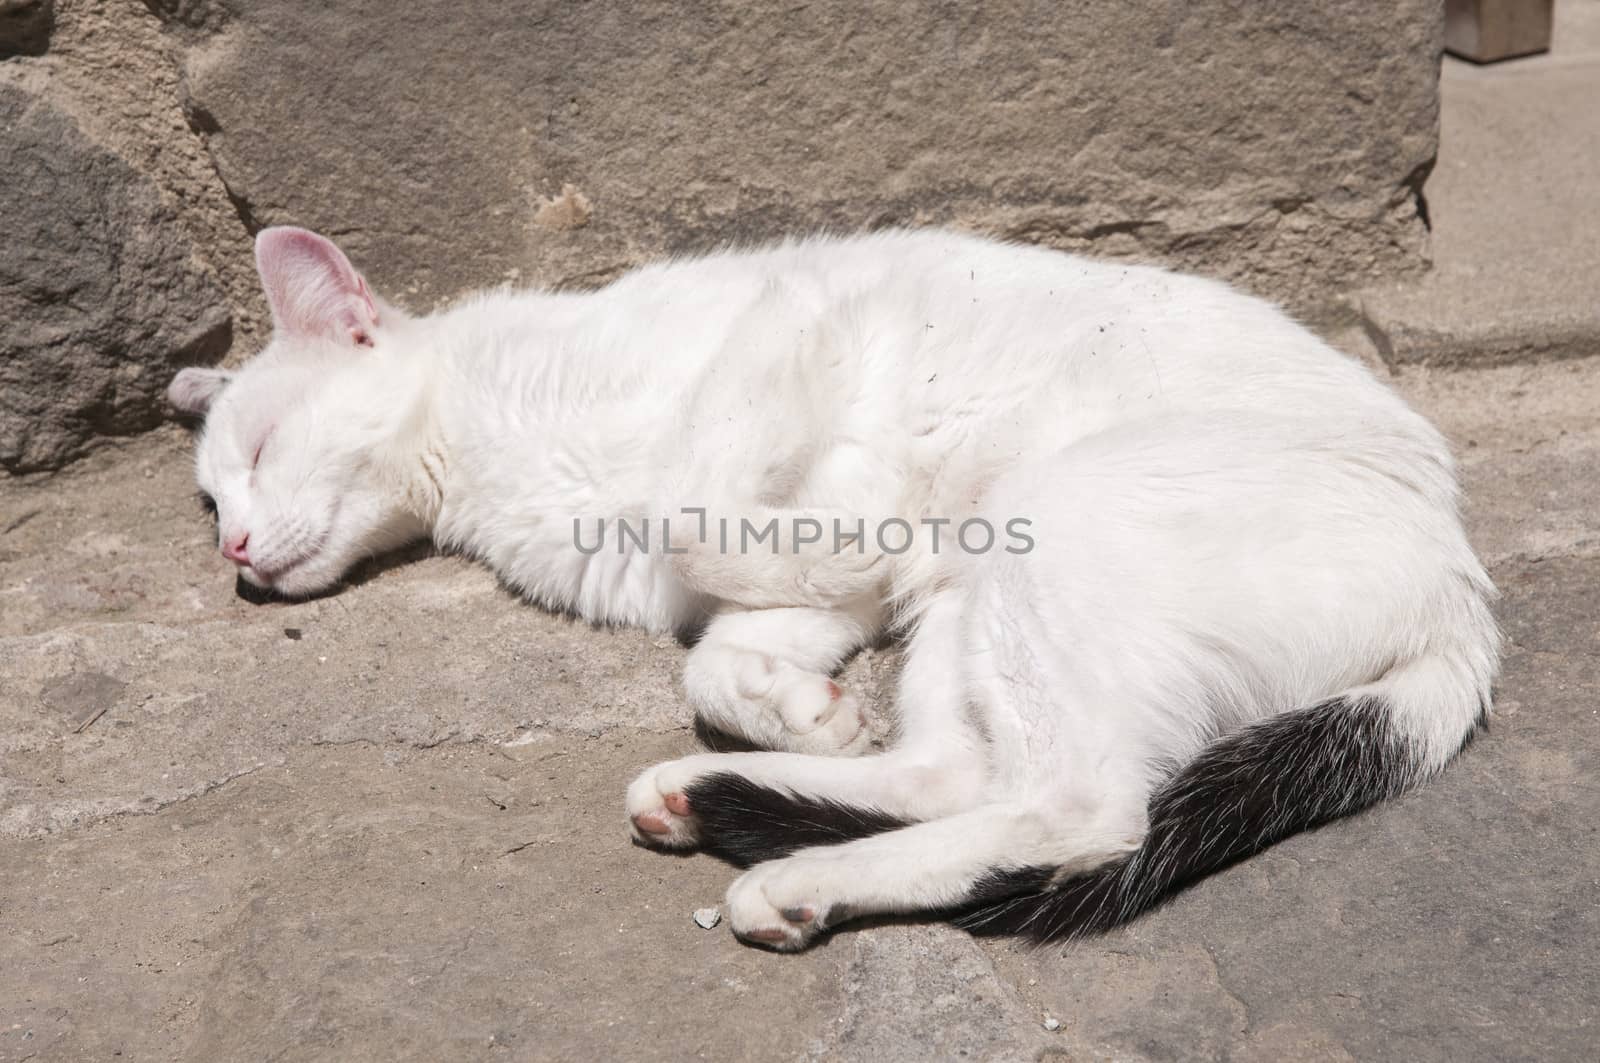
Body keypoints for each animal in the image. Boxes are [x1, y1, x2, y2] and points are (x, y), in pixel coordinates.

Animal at [175, 225, 1497, 947]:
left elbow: (700, 514)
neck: (484, 474)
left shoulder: (790, 324)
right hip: (979, 609)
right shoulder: (783, 606)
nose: (233, 554)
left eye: (256, 455)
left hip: (1053, 521)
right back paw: (721, 806)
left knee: (1080, 806)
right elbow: (722, 655)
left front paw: (856, 545)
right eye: (214, 501)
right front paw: (805, 709)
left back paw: (792, 868)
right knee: (966, 773)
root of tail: (1459, 590)